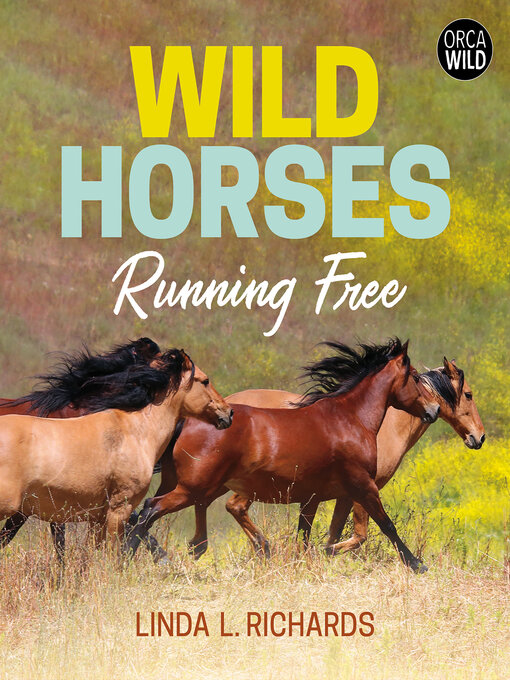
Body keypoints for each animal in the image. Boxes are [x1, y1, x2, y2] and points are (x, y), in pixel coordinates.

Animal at [126, 339, 440, 573]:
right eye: (415, 377)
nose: (434, 410)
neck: (350, 418)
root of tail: (186, 421)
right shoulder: (363, 485)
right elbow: (385, 525)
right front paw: (417, 565)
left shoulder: (314, 496)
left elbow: (308, 535)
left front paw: (311, 559)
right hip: (192, 488)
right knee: (150, 509)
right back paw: (135, 559)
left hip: (192, 485)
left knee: (151, 517)